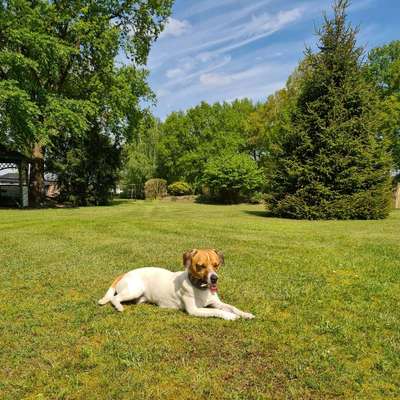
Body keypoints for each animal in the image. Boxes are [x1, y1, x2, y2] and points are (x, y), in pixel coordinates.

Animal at [99, 248, 255, 320]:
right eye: (201, 266)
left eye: (216, 265)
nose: (214, 278)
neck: (200, 288)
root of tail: (125, 273)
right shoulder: (194, 310)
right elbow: (215, 311)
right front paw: (229, 316)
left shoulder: (216, 302)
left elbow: (232, 307)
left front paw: (245, 314)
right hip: (134, 290)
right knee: (114, 298)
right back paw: (119, 307)